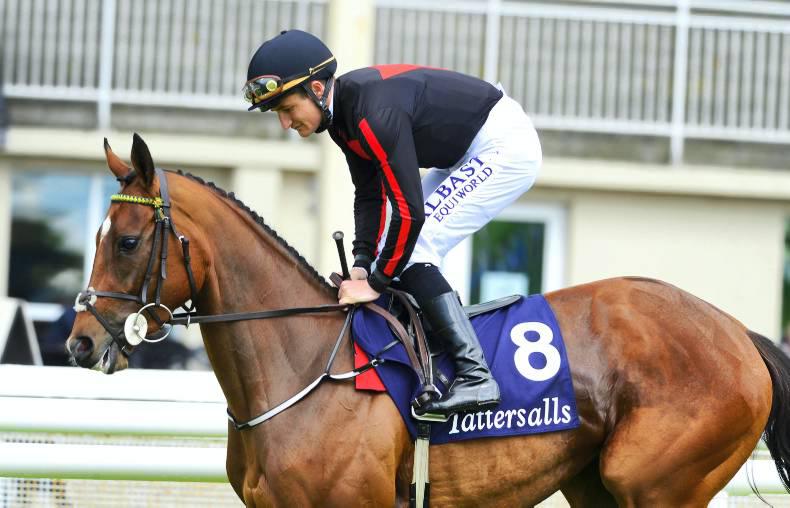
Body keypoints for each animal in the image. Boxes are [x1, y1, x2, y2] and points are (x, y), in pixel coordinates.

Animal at [66, 134, 790, 507]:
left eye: (126, 241)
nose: (79, 342)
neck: (299, 363)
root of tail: (739, 334)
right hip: (597, 486)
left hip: (656, 482)